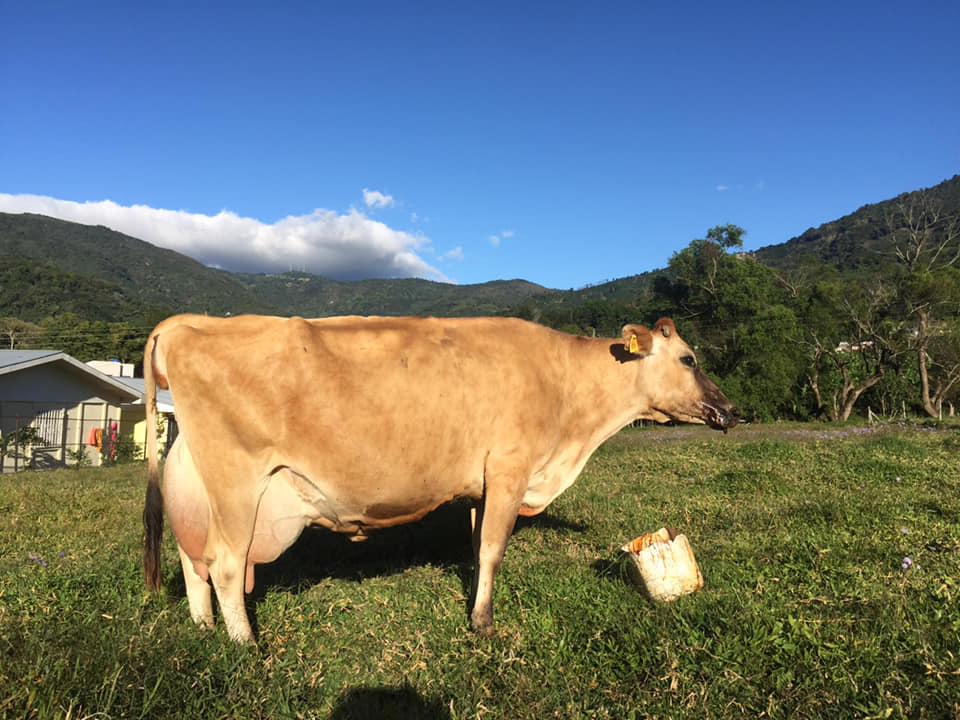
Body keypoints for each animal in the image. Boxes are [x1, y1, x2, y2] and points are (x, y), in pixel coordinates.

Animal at [143, 314, 738, 643]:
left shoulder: (481, 485)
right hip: (237, 480)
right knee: (224, 563)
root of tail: (186, 323)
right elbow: (494, 550)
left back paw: (204, 628)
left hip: (194, 478)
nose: (731, 410)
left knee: (192, 558)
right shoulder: (509, 468)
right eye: (689, 358)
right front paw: (484, 625)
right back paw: (246, 645)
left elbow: (477, 550)